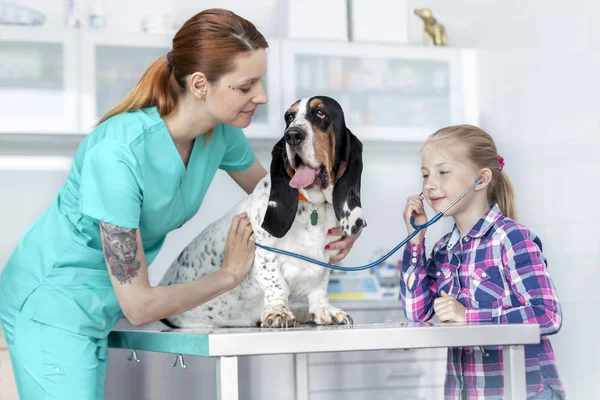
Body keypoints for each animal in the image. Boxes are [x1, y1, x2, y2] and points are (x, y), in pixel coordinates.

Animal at [161, 96, 366, 328]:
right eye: (289, 117)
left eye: (321, 113)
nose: (292, 135)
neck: (313, 207)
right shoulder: (266, 257)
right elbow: (276, 285)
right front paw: (279, 313)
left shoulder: (324, 262)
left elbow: (319, 289)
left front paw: (325, 311)